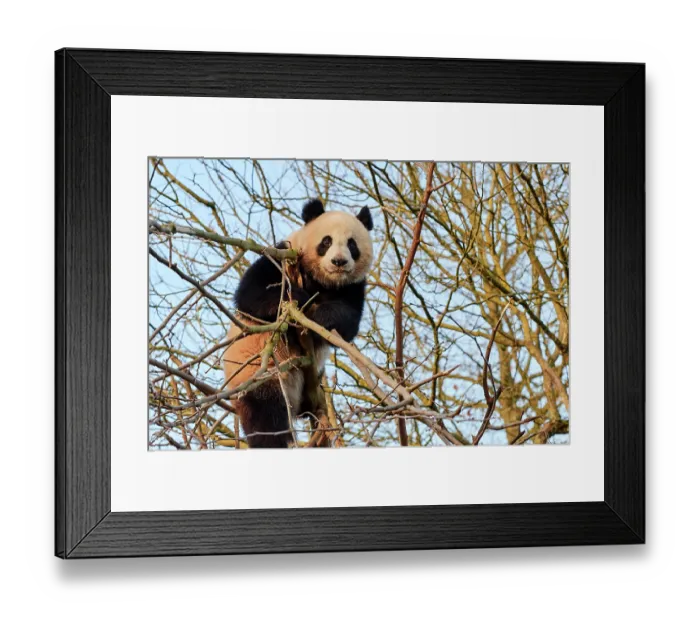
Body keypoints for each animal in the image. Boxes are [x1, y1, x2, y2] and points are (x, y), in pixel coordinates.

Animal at [223, 199, 374, 448]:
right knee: (265, 416)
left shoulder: (353, 286)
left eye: (352, 244)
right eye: (326, 241)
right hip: (259, 373)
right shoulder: (281, 255)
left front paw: (322, 317)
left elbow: (348, 320)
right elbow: (251, 294)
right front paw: (298, 299)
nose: (339, 262)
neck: (324, 281)